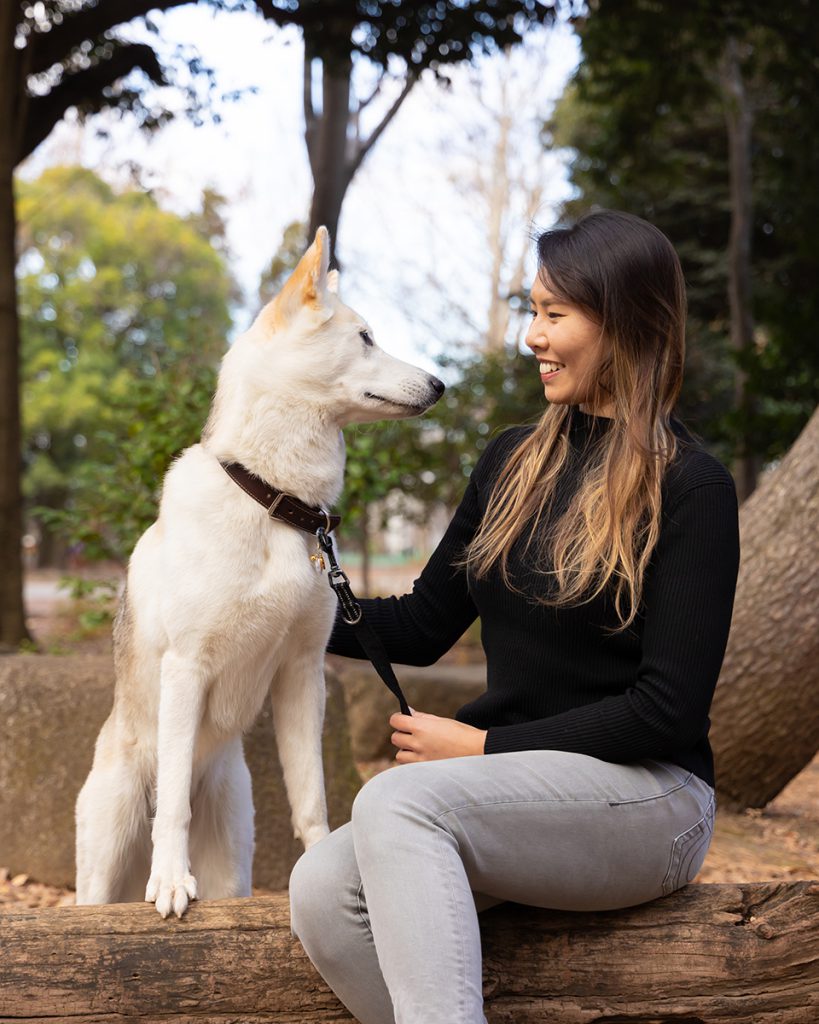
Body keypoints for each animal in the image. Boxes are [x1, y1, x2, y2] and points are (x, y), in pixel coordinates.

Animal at [75, 230, 444, 921]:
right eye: (365, 337)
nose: (440, 384)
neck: (274, 501)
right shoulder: (186, 667)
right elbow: (173, 807)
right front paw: (171, 878)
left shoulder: (302, 675)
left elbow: (311, 799)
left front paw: (323, 862)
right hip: (108, 848)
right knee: (146, 828)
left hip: (233, 848)